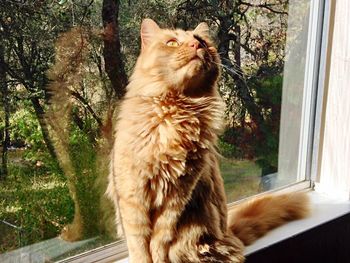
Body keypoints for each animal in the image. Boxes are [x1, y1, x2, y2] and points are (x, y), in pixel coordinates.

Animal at [106, 19, 308, 263]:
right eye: (172, 42)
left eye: (201, 41)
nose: (195, 45)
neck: (175, 114)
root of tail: (229, 234)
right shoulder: (133, 198)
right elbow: (140, 245)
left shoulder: (179, 194)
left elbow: (160, 240)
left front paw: (159, 257)